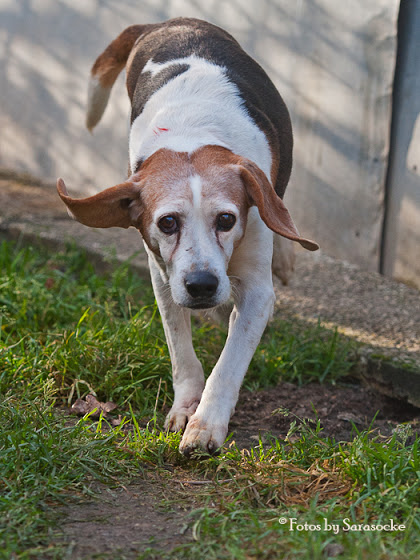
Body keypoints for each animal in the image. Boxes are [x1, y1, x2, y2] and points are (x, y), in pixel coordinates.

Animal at [57, 18, 316, 456]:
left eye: (227, 219)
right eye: (167, 223)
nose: (202, 286)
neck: (192, 137)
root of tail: (168, 23)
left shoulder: (256, 292)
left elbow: (227, 367)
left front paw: (206, 425)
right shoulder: (164, 279)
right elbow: (182, 353)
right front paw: (185, 407)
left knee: (278, 211)